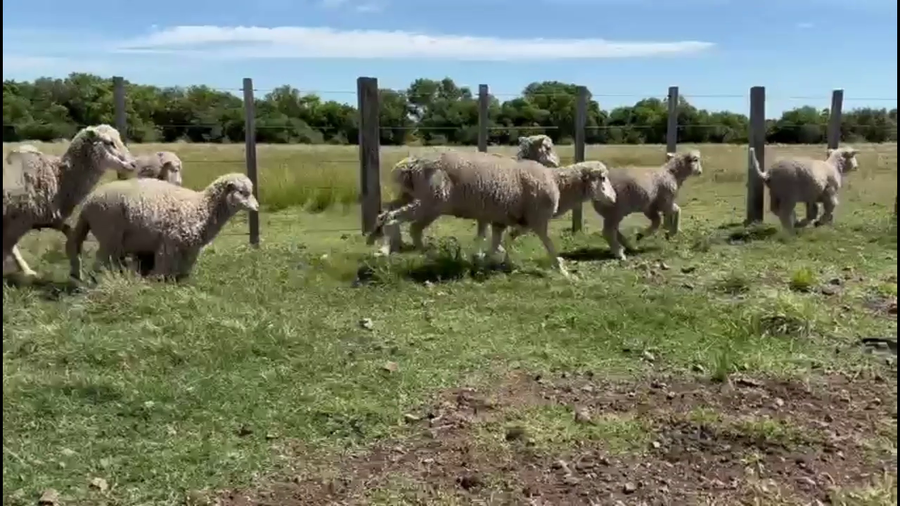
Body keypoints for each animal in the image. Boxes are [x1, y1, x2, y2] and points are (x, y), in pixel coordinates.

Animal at [3, 125, 137, 280]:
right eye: (109, 142)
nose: (133, 164)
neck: (58, 177)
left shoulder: (50, 217)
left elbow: (71, 237)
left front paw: (76, 271)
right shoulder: (19, 221)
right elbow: (8, 248)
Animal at [67, 173, 259, 282]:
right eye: (243, 192)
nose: (257, 207)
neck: (202, 207)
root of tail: (87, 203)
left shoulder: (189, 247)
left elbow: (184, 269)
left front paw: (181, 281)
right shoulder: (169, 242)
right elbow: (163, 265)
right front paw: (158, 281)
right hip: (109, 233)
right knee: (101, 261)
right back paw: (102, 279)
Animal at [365, 151, 616, 278]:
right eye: (602, 178)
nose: (613, 199)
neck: (558, 184)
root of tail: (409, 164)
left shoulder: (502, 218)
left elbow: (499, 241)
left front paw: (488, 261)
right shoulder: (537, 219)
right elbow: (549, 245)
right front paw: (562, 269)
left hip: (411, 195)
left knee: (386, 213)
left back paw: (383, 245)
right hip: (432, 202)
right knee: (403, 223)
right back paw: (427, 255)